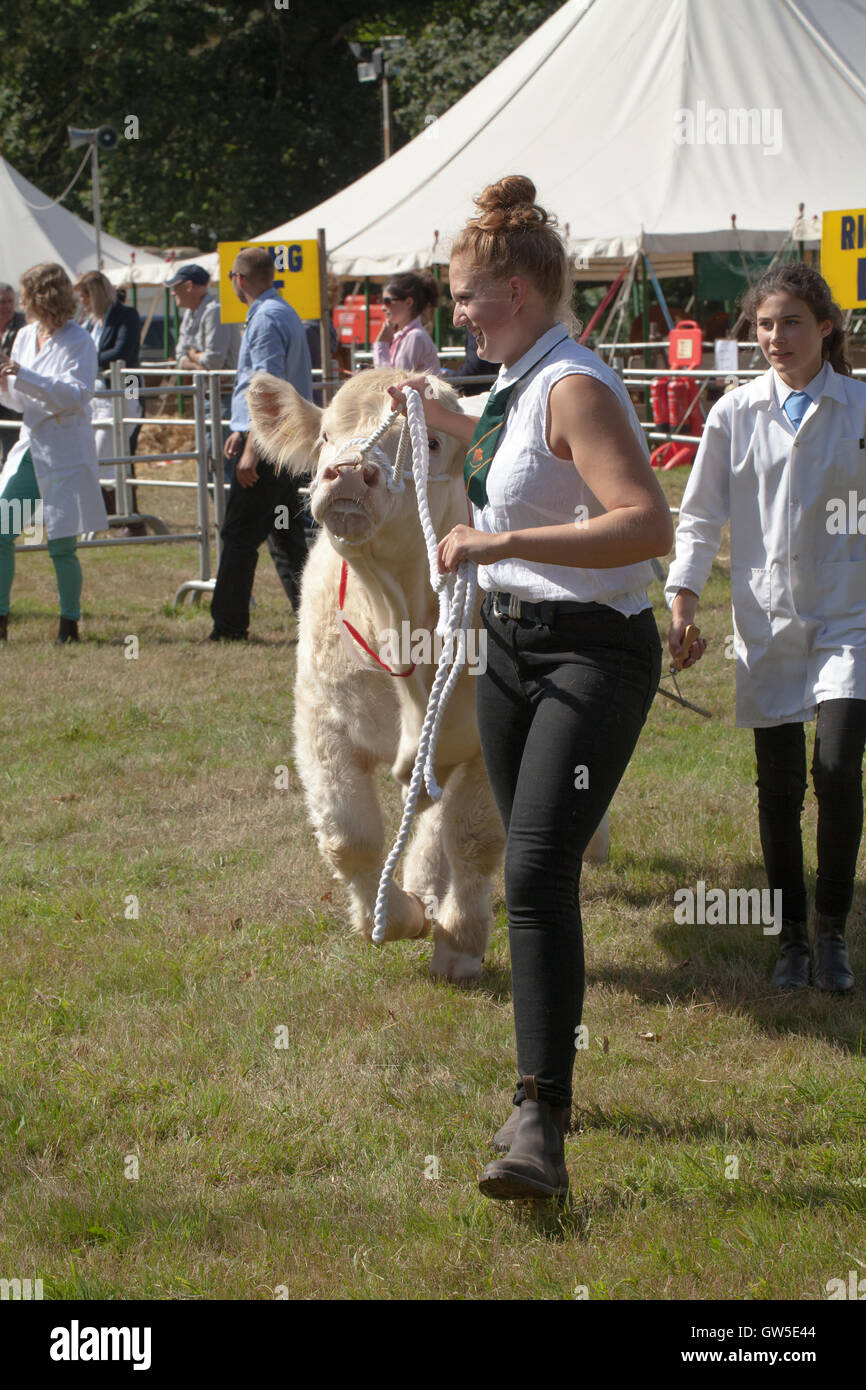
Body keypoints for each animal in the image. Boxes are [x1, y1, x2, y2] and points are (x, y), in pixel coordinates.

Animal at [247, 364, 606, 984]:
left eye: (429, 444)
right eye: (325, 436)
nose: (349, 472)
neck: (398, 615)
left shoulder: (490, 740)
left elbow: (473, 838)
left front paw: (458, 942)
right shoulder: (321, 722)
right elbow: (349, 837)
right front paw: (398, 917)